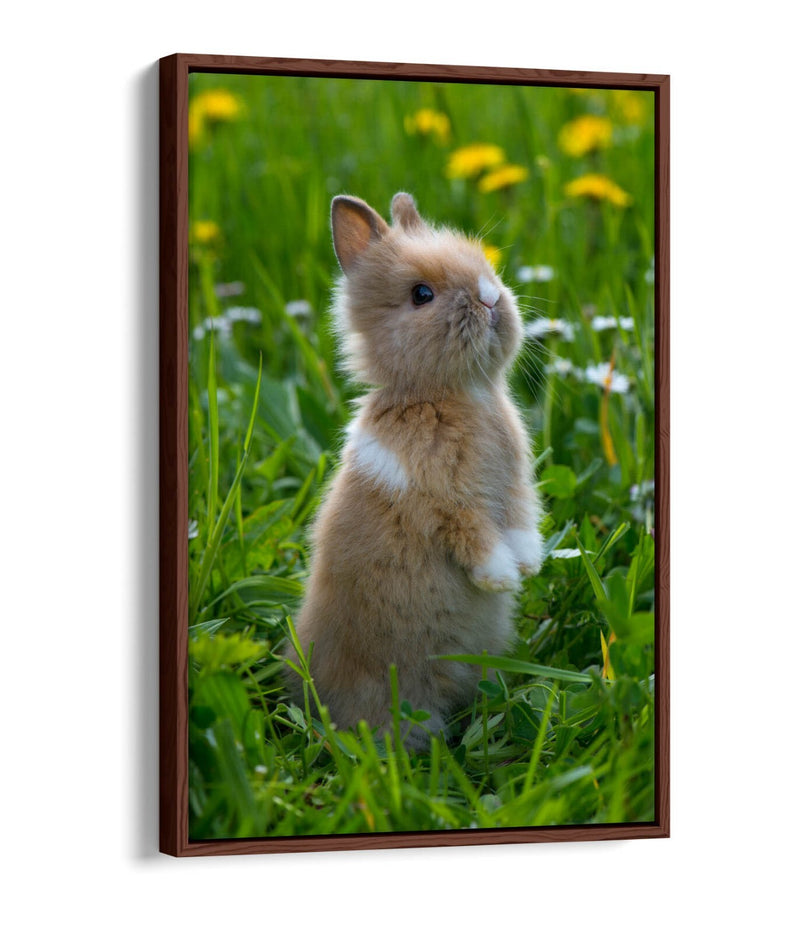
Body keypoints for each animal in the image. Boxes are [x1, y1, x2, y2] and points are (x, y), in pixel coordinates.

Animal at [285, 192, 543, 750]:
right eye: (421, 295)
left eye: (486, 265)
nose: (490, 297)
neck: (455, 393)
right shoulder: (442, 498)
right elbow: (475, 534)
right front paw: (500, 579)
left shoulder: (514, 487)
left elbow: (519, 521)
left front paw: (530, 566)